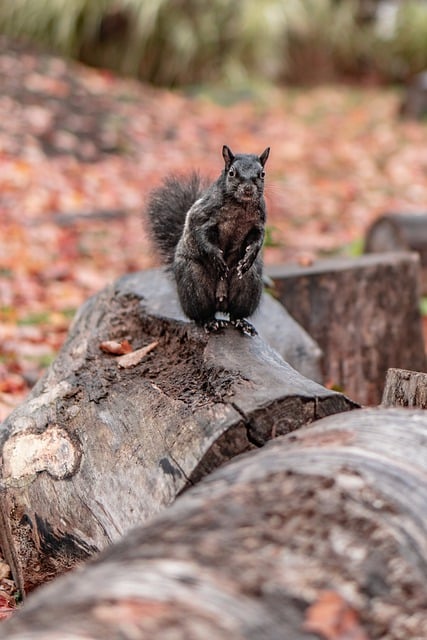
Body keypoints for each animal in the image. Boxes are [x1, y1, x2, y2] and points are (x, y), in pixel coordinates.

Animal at [145, 144, 270, 336]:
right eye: (232, 173)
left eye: (262, 174)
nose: (248, 189)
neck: (240, 205)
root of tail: (221, 299)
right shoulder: (203, 215)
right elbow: (201, 235)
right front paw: (216, 258)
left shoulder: (259, 223)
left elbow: (259, 238)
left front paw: (250, 256)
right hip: (195, 283)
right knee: (202, 314)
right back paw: (211, 323)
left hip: (249, 284)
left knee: (235, 314)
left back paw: (242, 323)